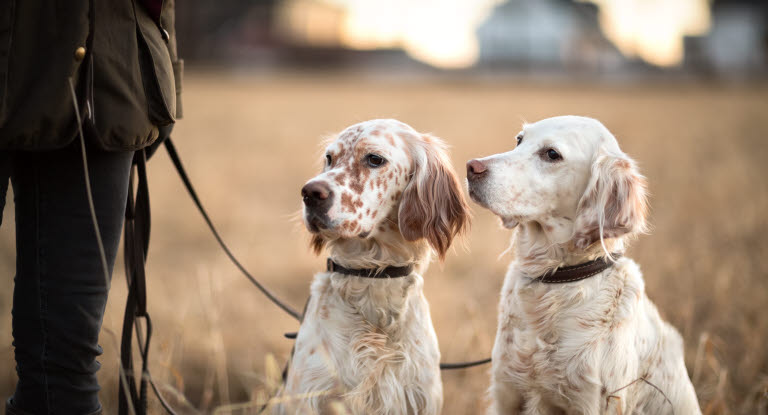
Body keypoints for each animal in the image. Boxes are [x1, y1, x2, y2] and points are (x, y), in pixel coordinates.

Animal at [468, 117, 704, 415]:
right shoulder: (506, 394)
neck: (555, 282)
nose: (471, 167)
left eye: (552, 154)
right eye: (519, 140)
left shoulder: (593, 402)